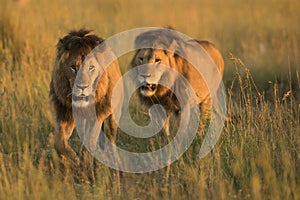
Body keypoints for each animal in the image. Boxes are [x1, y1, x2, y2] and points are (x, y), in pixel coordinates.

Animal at [49, 29, 121, 164]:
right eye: (73, 67)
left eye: (91, 68)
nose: (82, 87)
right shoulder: (64, 112)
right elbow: (59, 142)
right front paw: (72, 159)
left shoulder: (98, 113)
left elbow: (90, 141)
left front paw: (84, 162)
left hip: (113, 114)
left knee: (111, 137)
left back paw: (114, 159)